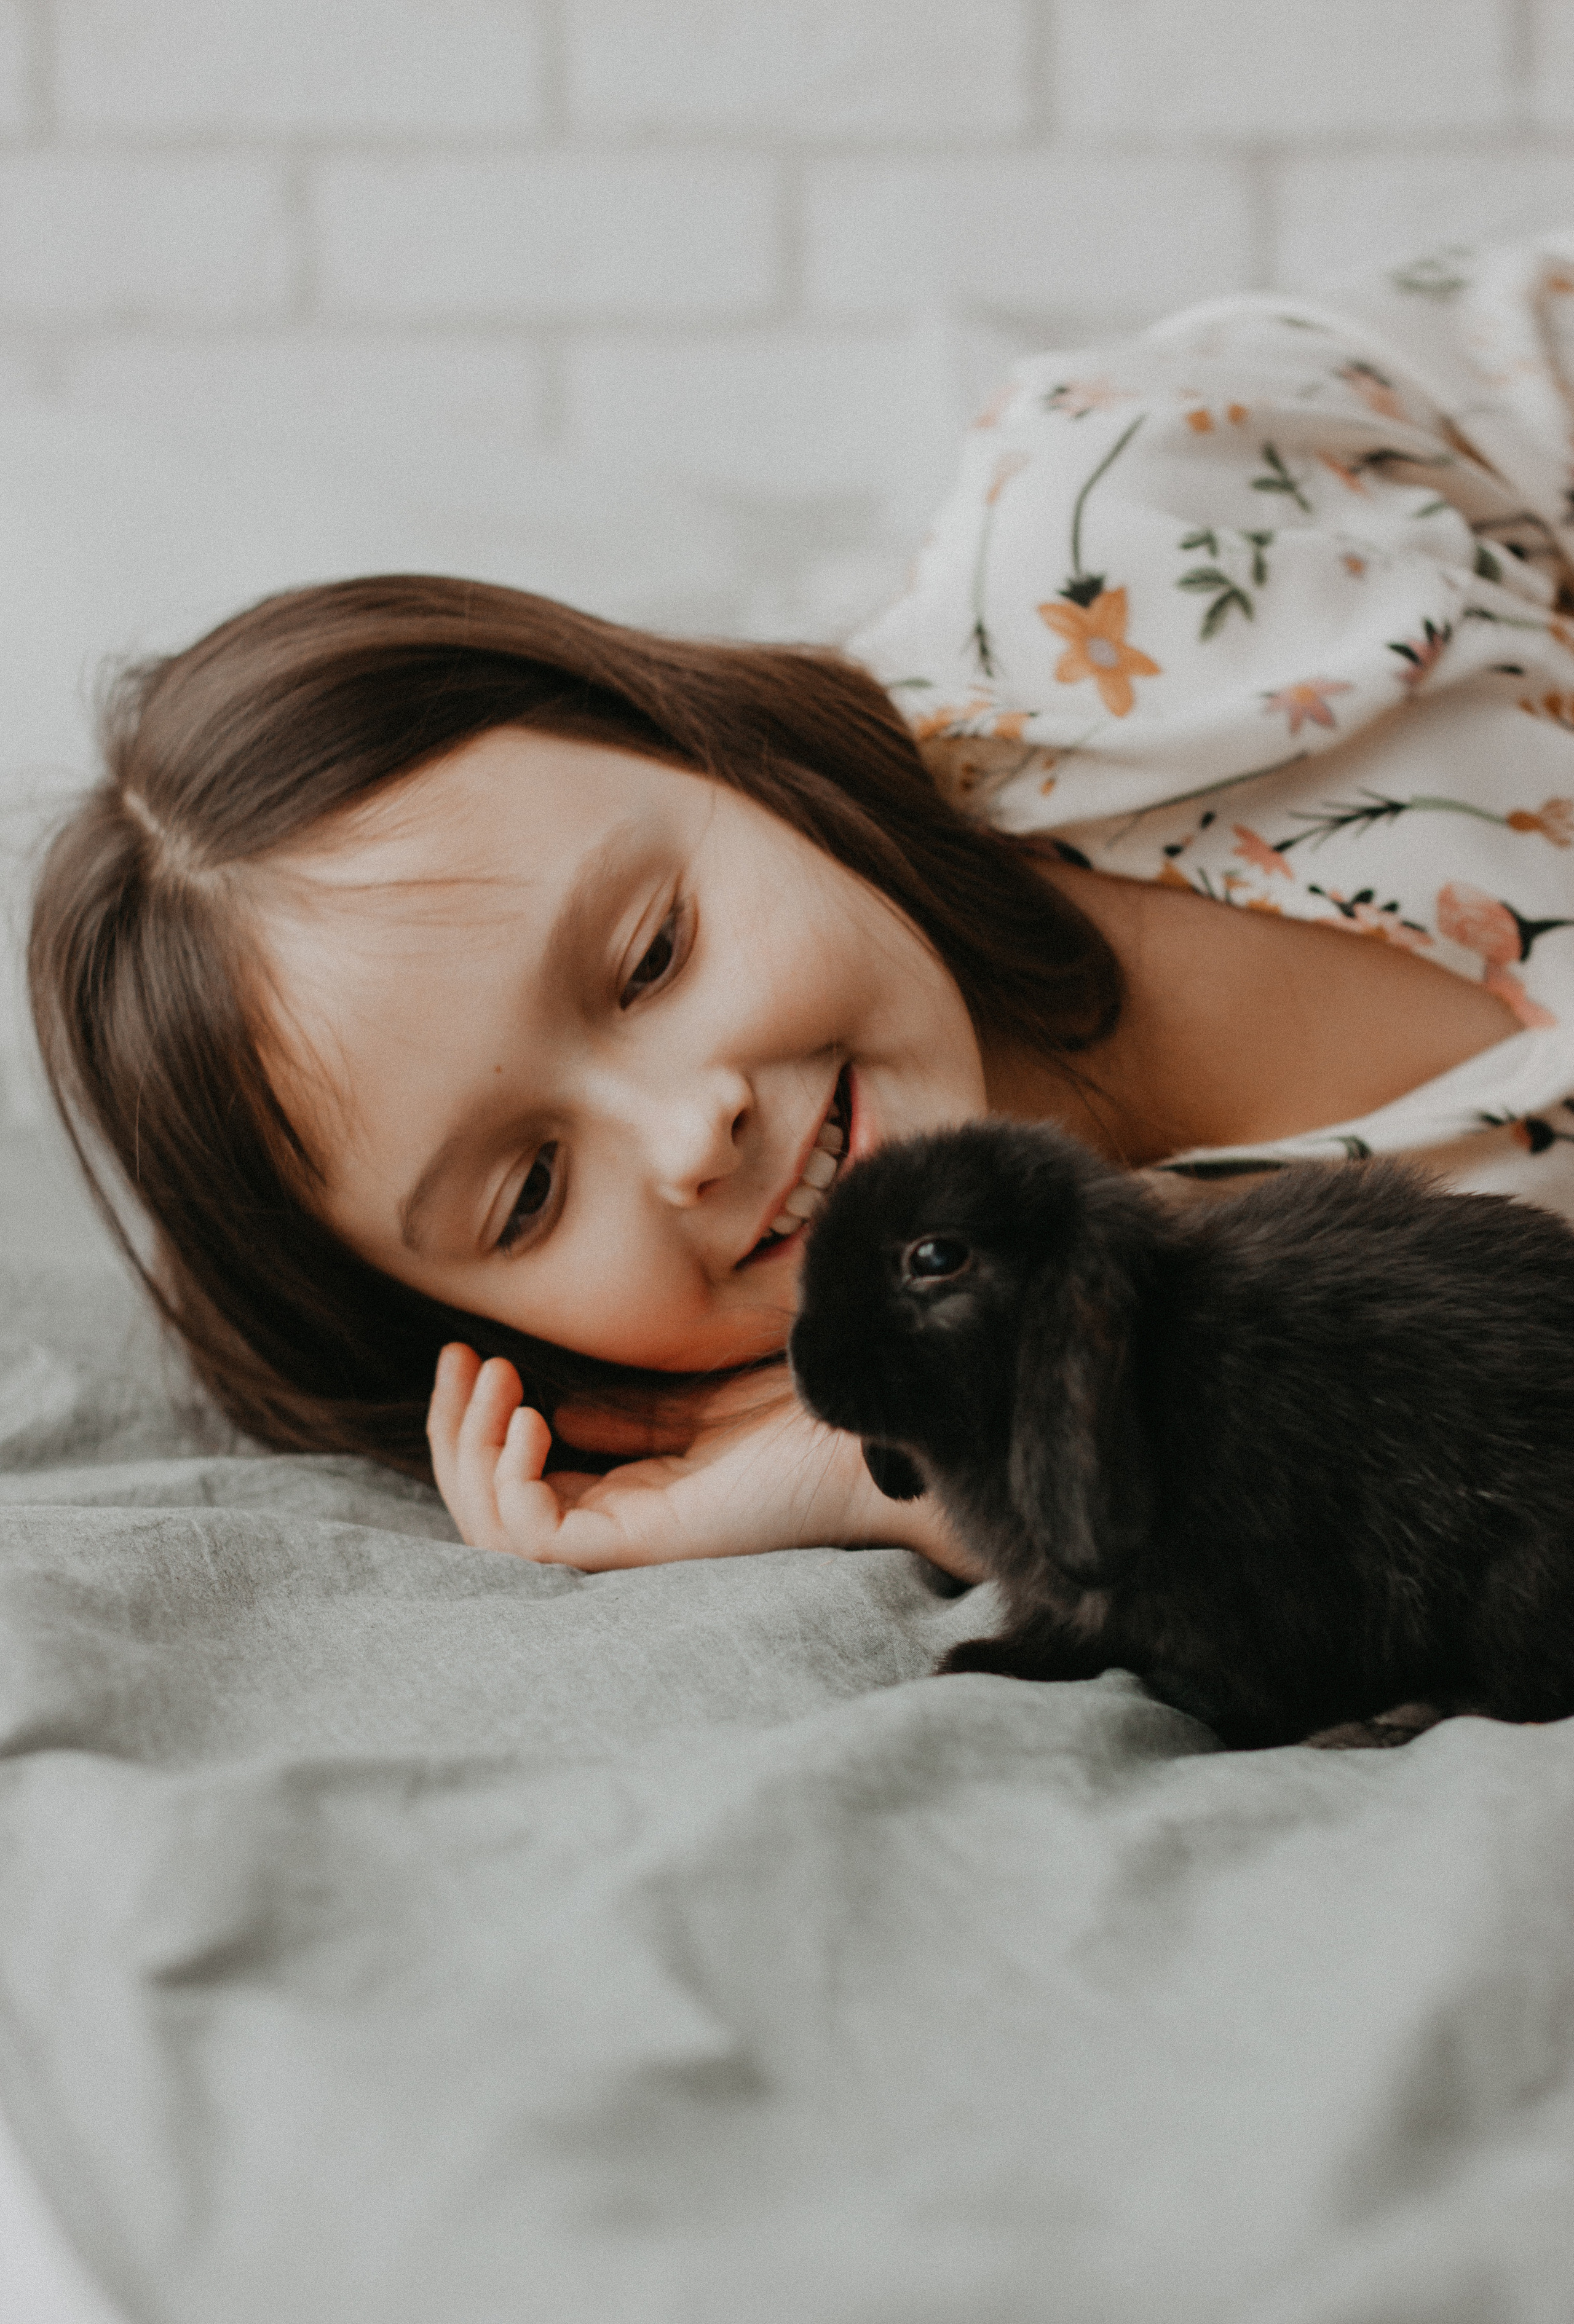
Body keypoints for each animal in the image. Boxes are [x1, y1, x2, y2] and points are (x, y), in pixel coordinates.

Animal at [788, 1120, 1574, 1750]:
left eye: (934, 1257)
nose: (801, 1360)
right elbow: (1061, 1632)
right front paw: (985, 1661)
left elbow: (1265, 1698)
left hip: (1521, 1582)